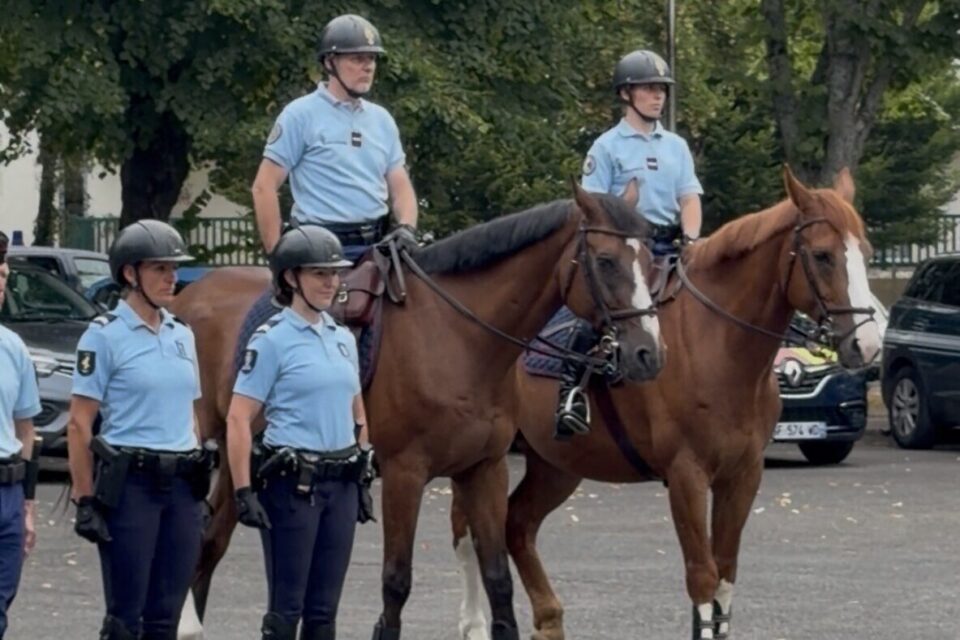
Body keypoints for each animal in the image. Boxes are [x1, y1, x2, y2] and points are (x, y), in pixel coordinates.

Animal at [170, 183, 667, 639]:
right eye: (605, 261)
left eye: (649, 261)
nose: (648, 353)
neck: (458, 338)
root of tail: (183, 298)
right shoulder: (404, 474)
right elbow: (396, 581)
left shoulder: (483, 470)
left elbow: (498, 578)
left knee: (213, 539)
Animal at [450, 166, 883, 640]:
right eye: (823, 255)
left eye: (865, 252)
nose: (867, 344)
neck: (717, 344)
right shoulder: (686, 474)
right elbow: (703, 576)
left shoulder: (743, 476)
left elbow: (724, 576)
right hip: (482, 459)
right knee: (469, 533)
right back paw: (474, 624)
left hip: (555, 465)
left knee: (517, 525)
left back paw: (549, 619)